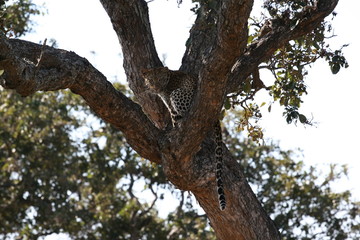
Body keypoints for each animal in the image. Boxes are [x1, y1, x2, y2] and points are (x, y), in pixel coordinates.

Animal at [142, 67, 226, 210]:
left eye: (160, 79)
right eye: (151, 80)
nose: (157, 87)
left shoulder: (170, 100)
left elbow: (174, 118)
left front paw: (175, 129)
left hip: (178, 93)